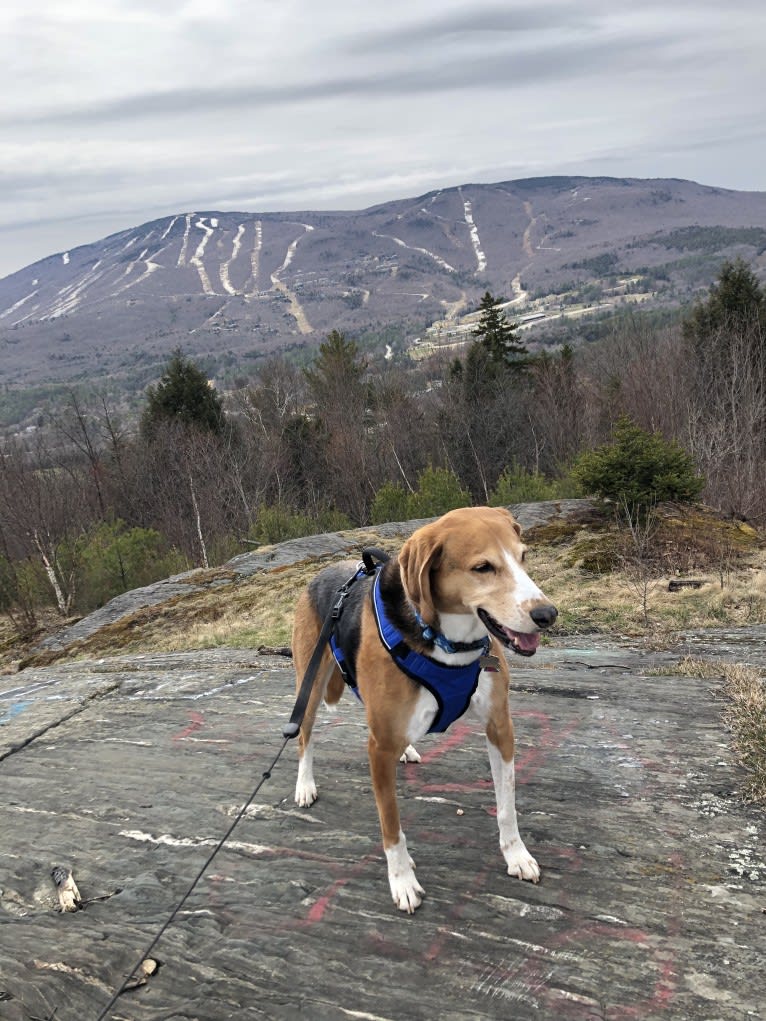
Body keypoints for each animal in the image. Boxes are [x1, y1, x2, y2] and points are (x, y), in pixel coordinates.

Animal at [292, 506, 559, 914]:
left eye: (523, 556)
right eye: (483, 567)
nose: (547, 614)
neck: (448, 643)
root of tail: (325, 573)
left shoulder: (500, 727)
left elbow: (507, 805)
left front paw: (516, 855)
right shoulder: (380, 747)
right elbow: (391, 826)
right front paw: (402, 880)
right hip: (309, 687)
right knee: (304, 738)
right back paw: (305, 785)